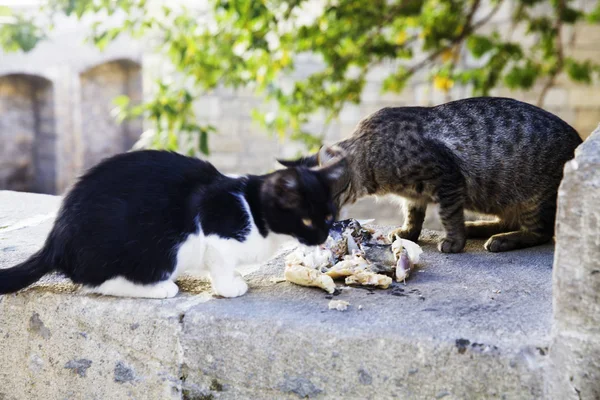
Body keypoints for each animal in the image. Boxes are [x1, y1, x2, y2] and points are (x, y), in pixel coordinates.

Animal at [0, 150, 346, 296]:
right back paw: (161, 288)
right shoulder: (215, 234)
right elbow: (221, 265)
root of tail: (56, 241)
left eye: (329, 217)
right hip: (160, 249)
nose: (321, 238)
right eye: (306, 220)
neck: (253, 211)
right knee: (95, 282)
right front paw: (230, 287)